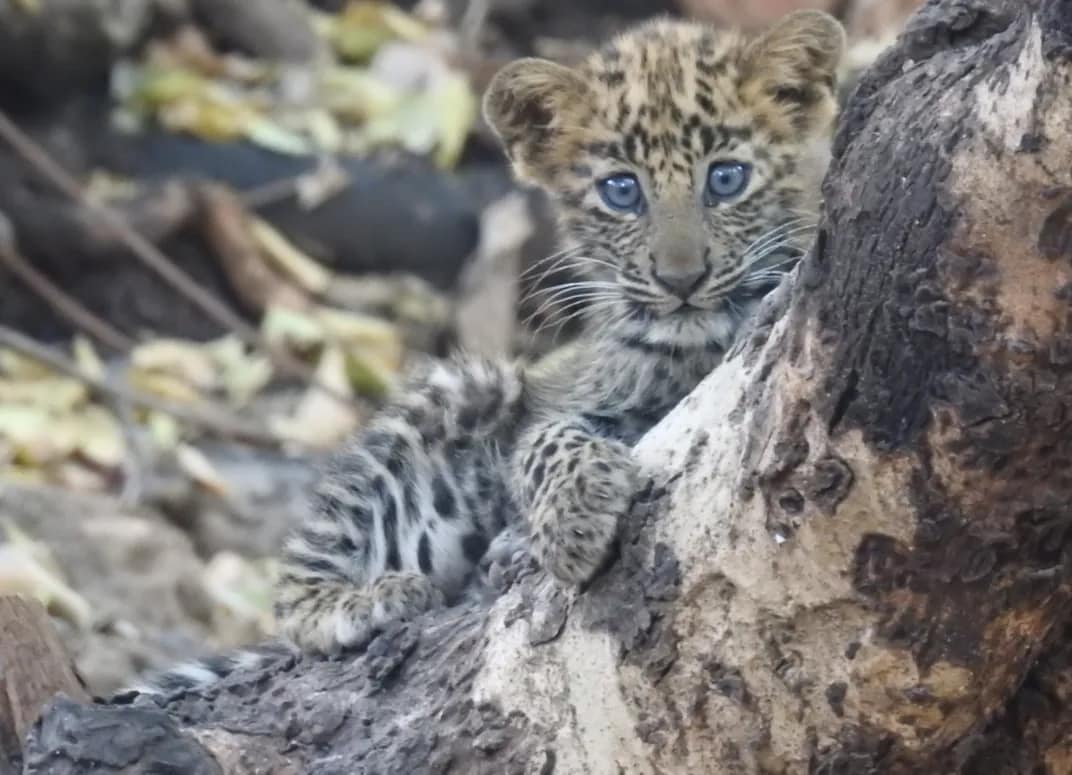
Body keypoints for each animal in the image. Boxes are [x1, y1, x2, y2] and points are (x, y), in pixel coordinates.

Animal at [127, 9, 844, 696]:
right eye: (622, 191)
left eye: (726, 179)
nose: (681, 280)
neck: (694, 347)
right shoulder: (565, 395)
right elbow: (540, 439)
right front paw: (574, 514)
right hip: (465, 388)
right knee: (299, 591)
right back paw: (371, 598)